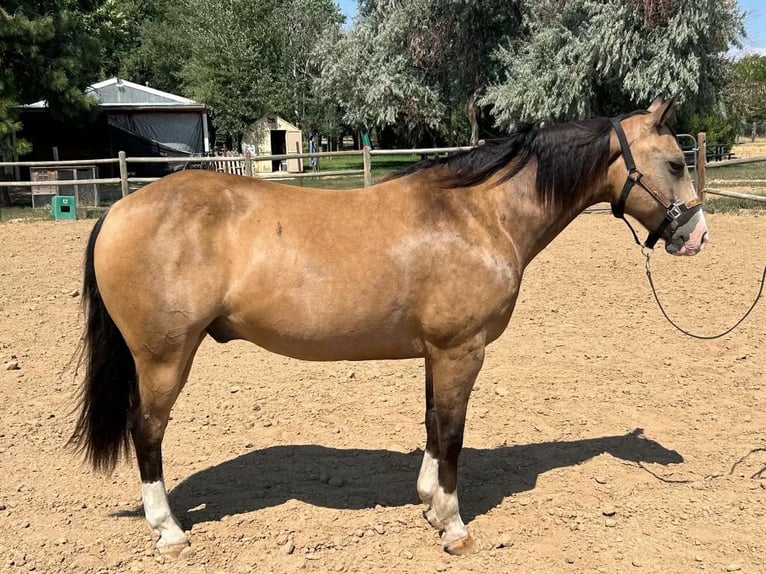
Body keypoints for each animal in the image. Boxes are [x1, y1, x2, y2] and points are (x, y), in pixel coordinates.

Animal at [70, 98, 708, 560]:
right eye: (676, 163)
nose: (698, 237)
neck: (478, 214)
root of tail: (120, 209)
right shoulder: (460, 351)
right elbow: (452, 434)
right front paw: (453, 526)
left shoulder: (436, 353)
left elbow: (431, 425)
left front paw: (427, 504)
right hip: (162, 358)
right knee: (147, 432)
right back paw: (169, 531)